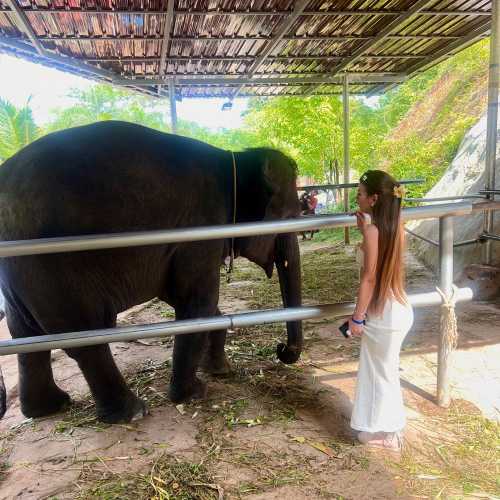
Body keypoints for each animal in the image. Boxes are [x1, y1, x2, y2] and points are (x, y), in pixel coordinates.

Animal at [0, 120, 304, 422]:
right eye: (291, 217)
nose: (280, 349)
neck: (235, 159)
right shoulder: (200, 230)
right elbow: (197, 302)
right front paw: (192, 394)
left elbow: (186, 300)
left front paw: (219, 371)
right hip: (53, 268)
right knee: (86, 339)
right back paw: (133, 412)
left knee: (26, 336)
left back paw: (49, 408)